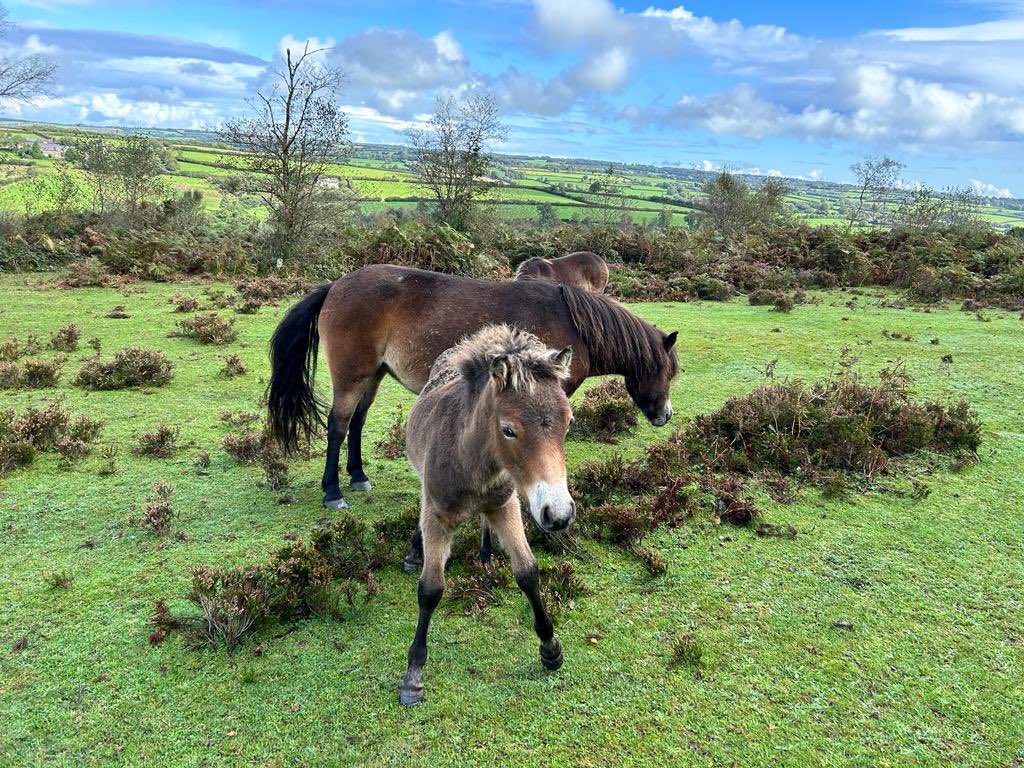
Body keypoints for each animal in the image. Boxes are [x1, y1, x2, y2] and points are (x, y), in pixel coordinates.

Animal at [264, 264, 679, 512]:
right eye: (667, 371)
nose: (665, 415)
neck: (572, 323)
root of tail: (336, 286)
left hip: (373, 375)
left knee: (357, 424)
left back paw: (358, 477)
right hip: (352, 376)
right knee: (338, 426)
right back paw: (333, 492)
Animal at [397, 323, 577, 704]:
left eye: (569, 423)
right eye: (509, 429)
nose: (558, 514)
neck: (470, 460)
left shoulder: (505, 505)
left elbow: (527, 571)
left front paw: (550, 647)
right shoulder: (437, 515)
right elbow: (430, 588)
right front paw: (413, 674)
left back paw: (486, 552)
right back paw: (415, 551)